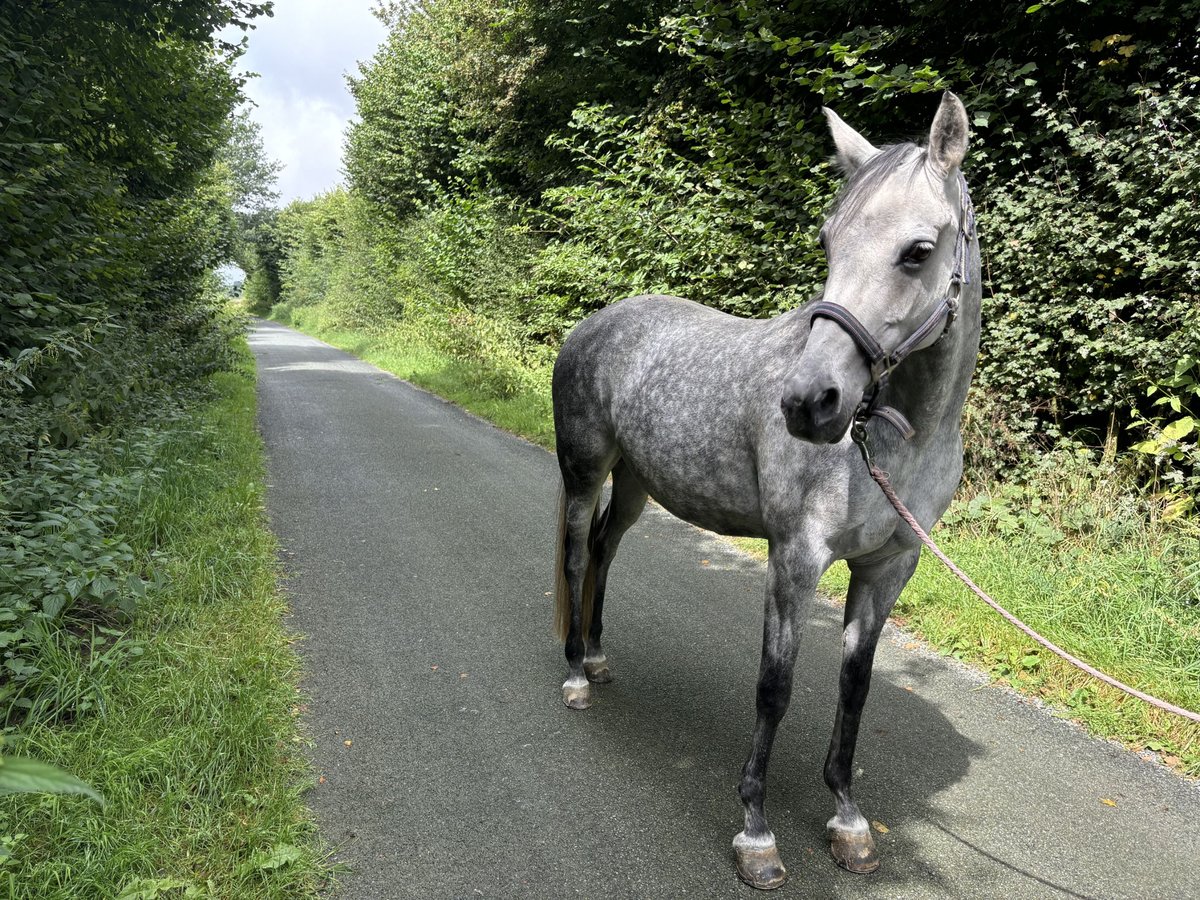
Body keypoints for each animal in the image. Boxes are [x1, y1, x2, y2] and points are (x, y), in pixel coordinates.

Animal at [549, 95, 979, 892]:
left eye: (917, 250)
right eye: (829, 241)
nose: (809, 403)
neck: (898, 440)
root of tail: (595, 323)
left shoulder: (889, 566)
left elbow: (855, 686)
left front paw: (847, 820)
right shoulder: (795, 558)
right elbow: (774, 688)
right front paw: (756, 831)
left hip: (636, 485)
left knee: (603, 551)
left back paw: (594, 656)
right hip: (585, 471)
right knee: (573, 554)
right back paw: (574, 677)